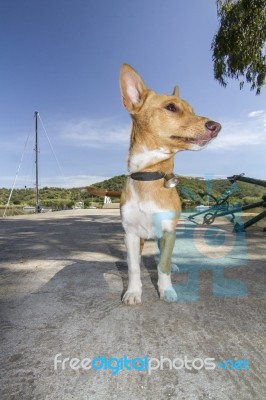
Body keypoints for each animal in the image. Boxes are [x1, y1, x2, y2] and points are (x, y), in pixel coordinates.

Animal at [119, 64, 219, 304]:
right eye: (171, 107)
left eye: (193, 110)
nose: (217, 126)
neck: (149, 175)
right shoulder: (130, 234)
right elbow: (134, 268)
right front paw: (133, 291)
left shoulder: (167, 231)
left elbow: (162, 265)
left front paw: (166, 290)